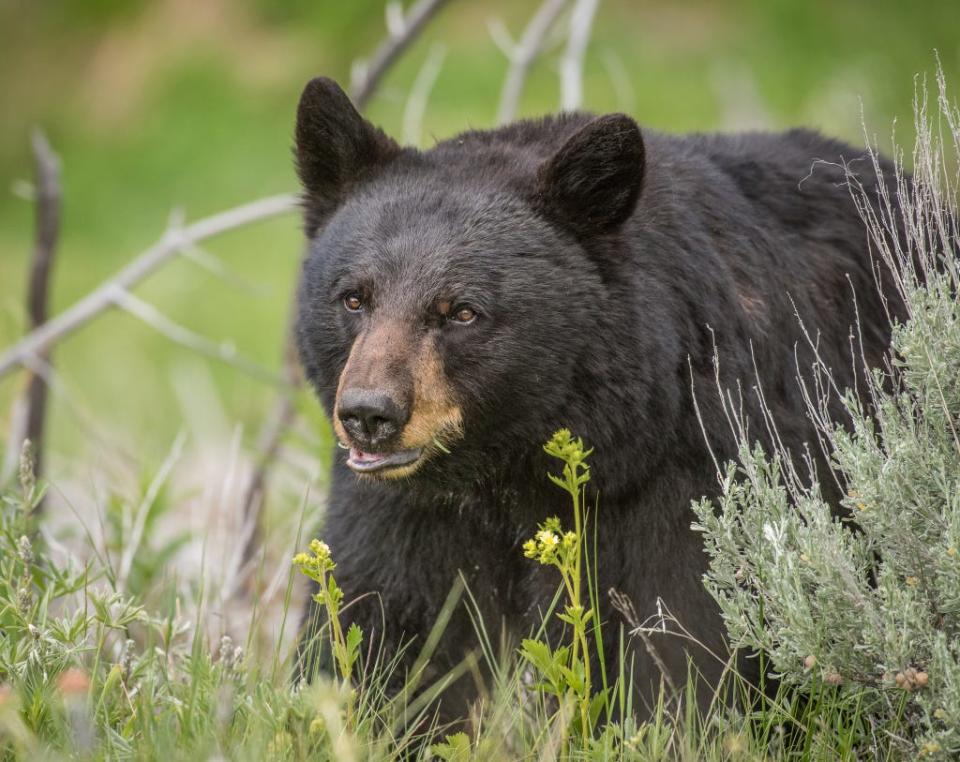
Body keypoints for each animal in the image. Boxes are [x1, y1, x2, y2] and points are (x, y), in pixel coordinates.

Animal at [290, 75, 900, 712]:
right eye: (353, 298)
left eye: (461, 311)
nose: (369, 414)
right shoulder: (406, 511)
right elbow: (385, 624)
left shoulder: (696, 470)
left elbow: (686, 641)